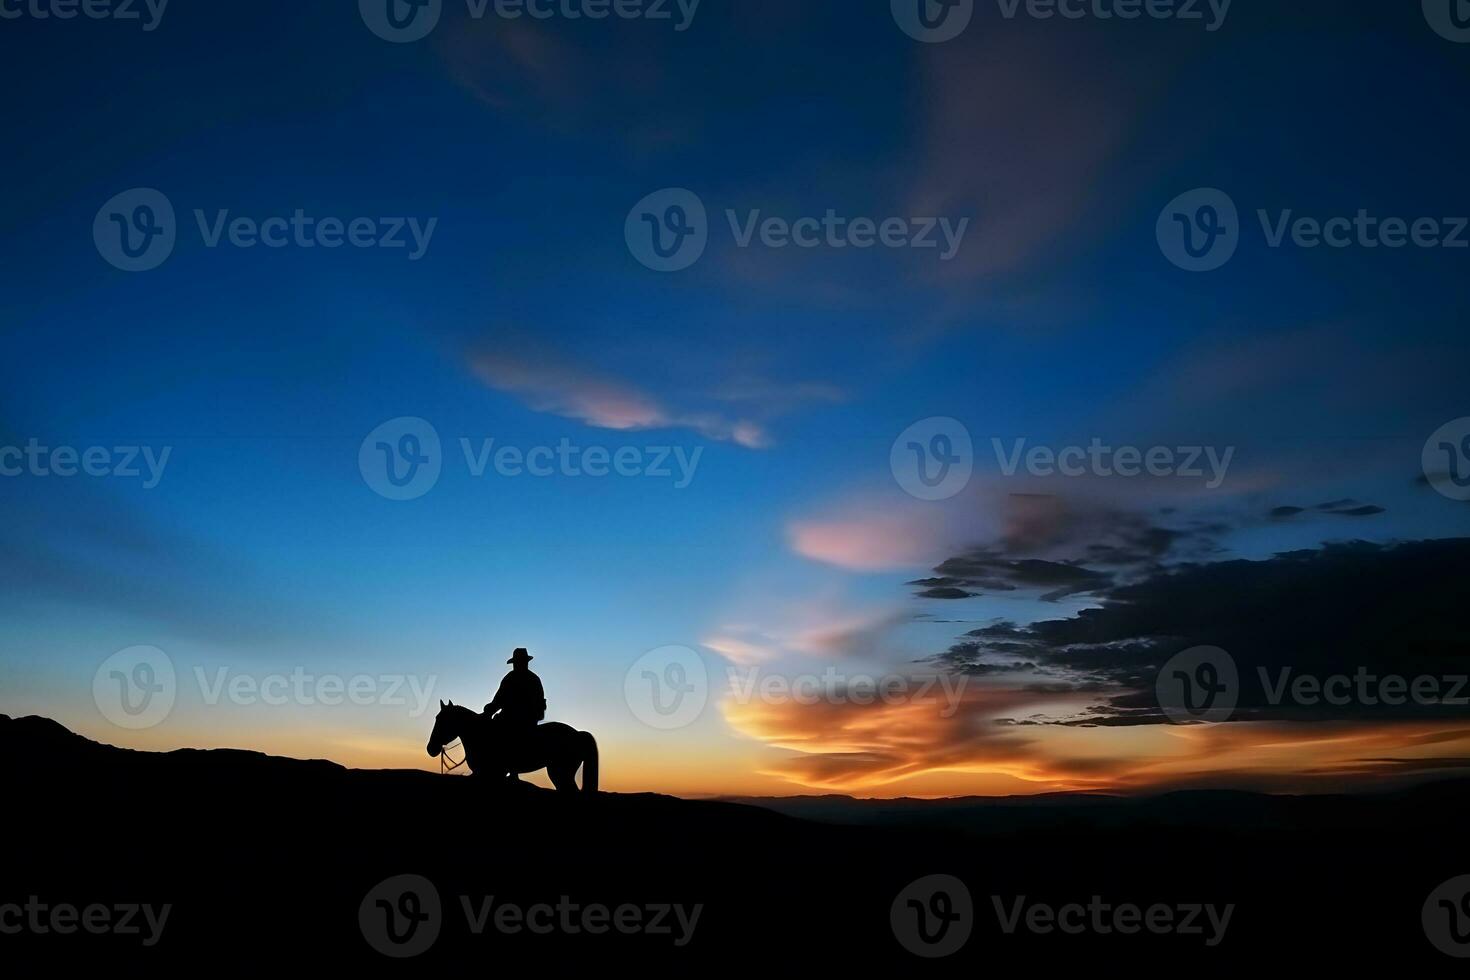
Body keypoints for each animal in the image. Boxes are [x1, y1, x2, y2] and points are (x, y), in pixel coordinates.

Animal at [426, 702, 596, 793]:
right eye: (436, 718)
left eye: (444, 721)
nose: (430, 748)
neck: (481, 734)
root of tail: (578, 734)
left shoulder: (488, 775)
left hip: (560, 773)